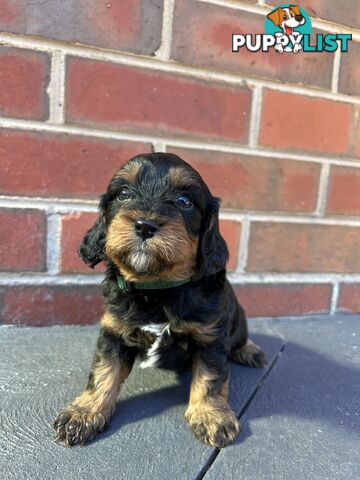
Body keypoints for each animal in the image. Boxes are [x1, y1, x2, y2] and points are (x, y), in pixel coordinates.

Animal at [54, 154, 268, 450]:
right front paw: (83, 413)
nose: (145, 225)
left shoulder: (211, 337)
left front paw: (212, 415)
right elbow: (103, 372)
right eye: (123, 194)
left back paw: (250, 351)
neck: (157, 289)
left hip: (238, 320)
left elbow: (211, 378)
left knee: (239, 339)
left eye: (184, 200)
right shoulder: (113, 332)